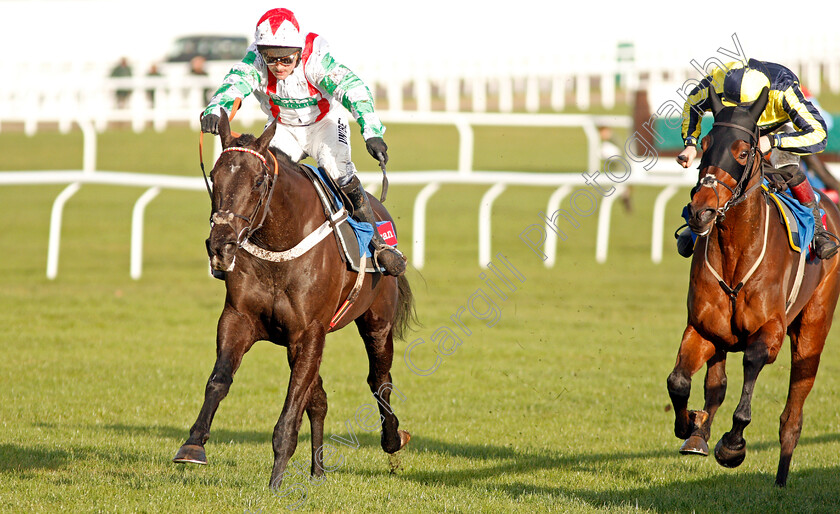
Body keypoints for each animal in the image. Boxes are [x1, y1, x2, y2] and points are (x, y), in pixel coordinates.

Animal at [173, 110, 414, 486]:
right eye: (213, 176)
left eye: (259, 181)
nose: (221, 245)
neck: (279, 245)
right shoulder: (238, 319)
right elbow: (219, 381)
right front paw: (193, 445)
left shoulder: (310, 332)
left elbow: (291, 410)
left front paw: (275, 483)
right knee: (320, 399)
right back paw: (317, 471)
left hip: (377, 321)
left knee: (379, 380)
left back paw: (392, 439)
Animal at [668, 87, 836, 484]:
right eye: (706, 144)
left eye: (743, 152)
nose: (700, 211)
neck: (735, 252)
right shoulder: (703, 328)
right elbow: (679, 381)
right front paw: (689, 425)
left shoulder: (770, 330)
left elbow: (752, 363)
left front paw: (732, 444)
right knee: (715, 384)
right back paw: (700, 431)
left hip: (813, 329)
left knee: (793, 414)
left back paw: (781, 478)